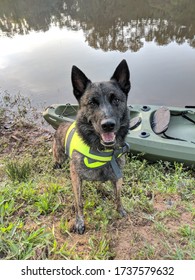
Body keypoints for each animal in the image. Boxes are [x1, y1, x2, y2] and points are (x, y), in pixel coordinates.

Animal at [53, 59, 131, 234]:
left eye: (116, 100)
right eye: (92, 103)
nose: (108, 125)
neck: (102, 150)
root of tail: (62, 124)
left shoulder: (118, 176)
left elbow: (118, 195)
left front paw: (120, 209)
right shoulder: (75, 176)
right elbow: (79, 202)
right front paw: (79, 222)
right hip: (58, 155)